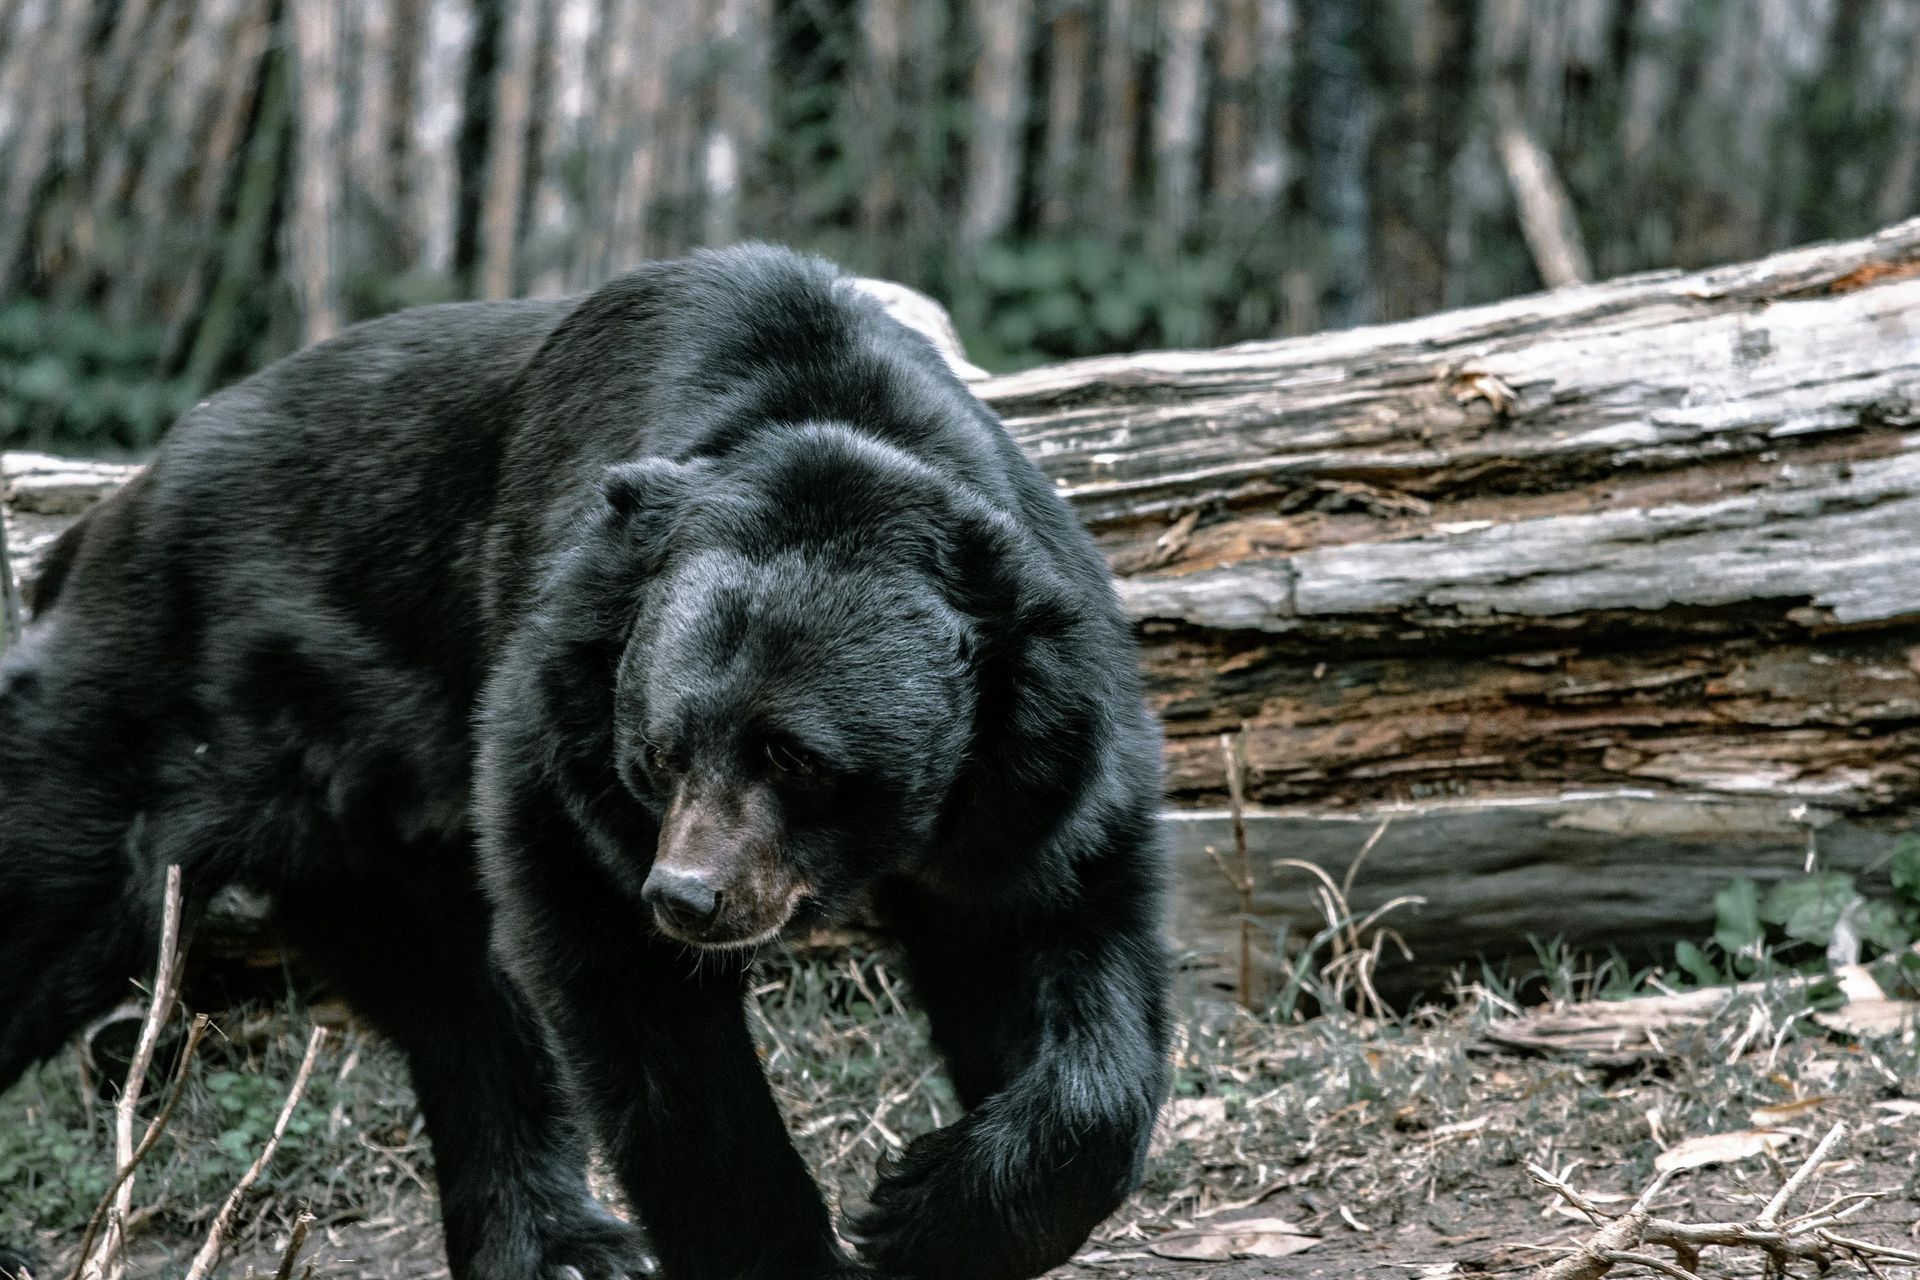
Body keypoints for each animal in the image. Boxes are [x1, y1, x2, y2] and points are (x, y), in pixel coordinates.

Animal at [0, 245, 1171, 1280]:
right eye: (659, 750)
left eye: (794, 756)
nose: (689, 896)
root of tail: (104, 516)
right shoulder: (563, 723)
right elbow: (636, 1001)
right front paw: (802, 1251)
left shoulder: (1035, 764)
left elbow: (1056, 944)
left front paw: (929, 1208)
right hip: (154, 711)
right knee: (54, 890)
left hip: (363, 821)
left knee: (455, 998)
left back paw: (560, 1243)